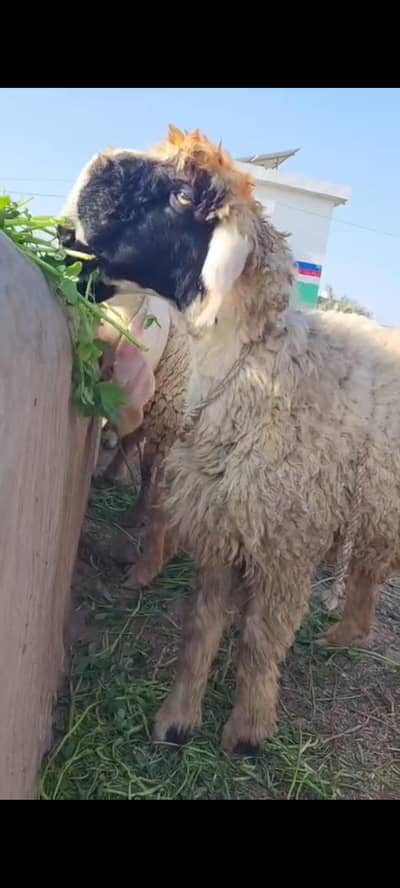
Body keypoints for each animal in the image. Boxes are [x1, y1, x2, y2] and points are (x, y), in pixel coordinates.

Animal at [62, 127, 400, 755]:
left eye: (182, 195)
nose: (96, 164)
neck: (265, 372)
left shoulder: (286, 540)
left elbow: (261, 642)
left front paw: (247, 731)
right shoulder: (223, 523)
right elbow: (202, 628)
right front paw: (177, 721)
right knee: (366, 569)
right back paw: (344, 634)